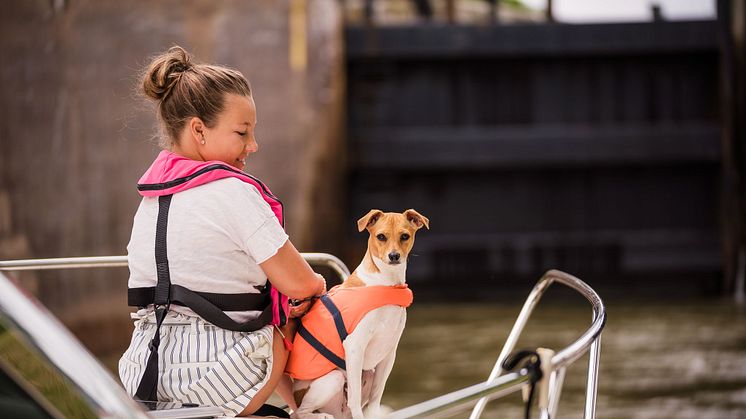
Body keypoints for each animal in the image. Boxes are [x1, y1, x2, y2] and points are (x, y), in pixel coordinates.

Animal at [282, 210, 428, 419]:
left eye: (405, 236)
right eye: (381, 236)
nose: (394, 256)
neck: (385, 282)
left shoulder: (388, 353)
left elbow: (375, 398)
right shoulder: (354, 346)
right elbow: (355, 399)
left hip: (367, 373)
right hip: (332, 379)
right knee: (298, 413)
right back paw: (320, 415)